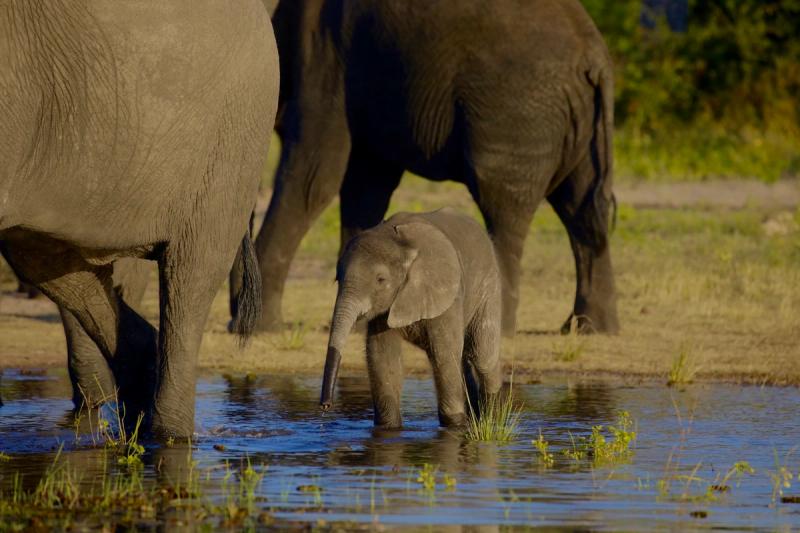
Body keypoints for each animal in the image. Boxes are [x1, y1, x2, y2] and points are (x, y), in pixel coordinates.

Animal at [245, 0, 619, 337]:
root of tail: (596, 59)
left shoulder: (324, 60)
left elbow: (315, 176)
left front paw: (260, 330)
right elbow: (366, 186)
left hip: (519, 114)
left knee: (504, 209)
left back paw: (501, 329)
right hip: (573, 124)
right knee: (582, 211)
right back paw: (590, 329)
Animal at [319, 209, 503, 429]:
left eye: (381, 280)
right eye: (337, 278)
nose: (325, 406)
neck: (400, 246)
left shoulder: (446, 294)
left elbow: (443, 353)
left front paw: (454, 424)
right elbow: (382, 355)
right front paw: (389, 426)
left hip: (489, 284)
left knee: (483, 354)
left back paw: (491, 418)